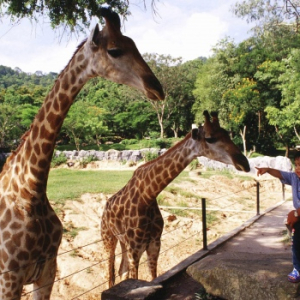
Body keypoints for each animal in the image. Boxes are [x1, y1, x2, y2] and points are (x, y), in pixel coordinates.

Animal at [101, 111, 251, 288]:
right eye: (210, 138)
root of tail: (105, 209)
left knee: (121, 271)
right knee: (110, 274)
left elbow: (153, 278)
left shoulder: (154, 244)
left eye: (227, 134)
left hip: (122, 242)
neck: (148, 195)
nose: (244, 163)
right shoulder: (135, 249)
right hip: (108, 239)